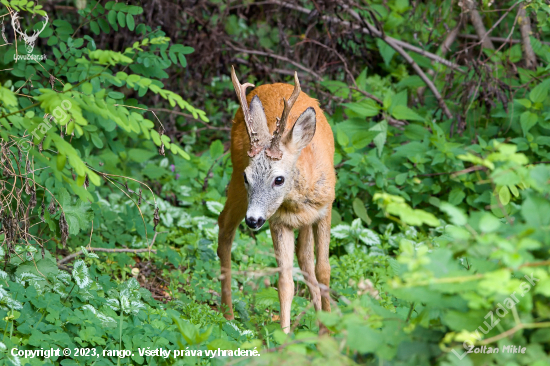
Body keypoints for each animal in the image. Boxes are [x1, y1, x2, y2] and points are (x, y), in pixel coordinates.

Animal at [218, 67, 334, 334]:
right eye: (248, 176)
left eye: (279, 179)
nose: (253, 220)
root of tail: (270, 85)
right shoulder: (278, 221)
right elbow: (285, 282)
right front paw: (285, 335)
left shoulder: (326, 209)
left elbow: (323, 270)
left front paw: (328, 330)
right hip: (236, 184)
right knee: (224, 227)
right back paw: (227, 314)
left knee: (306, 260)